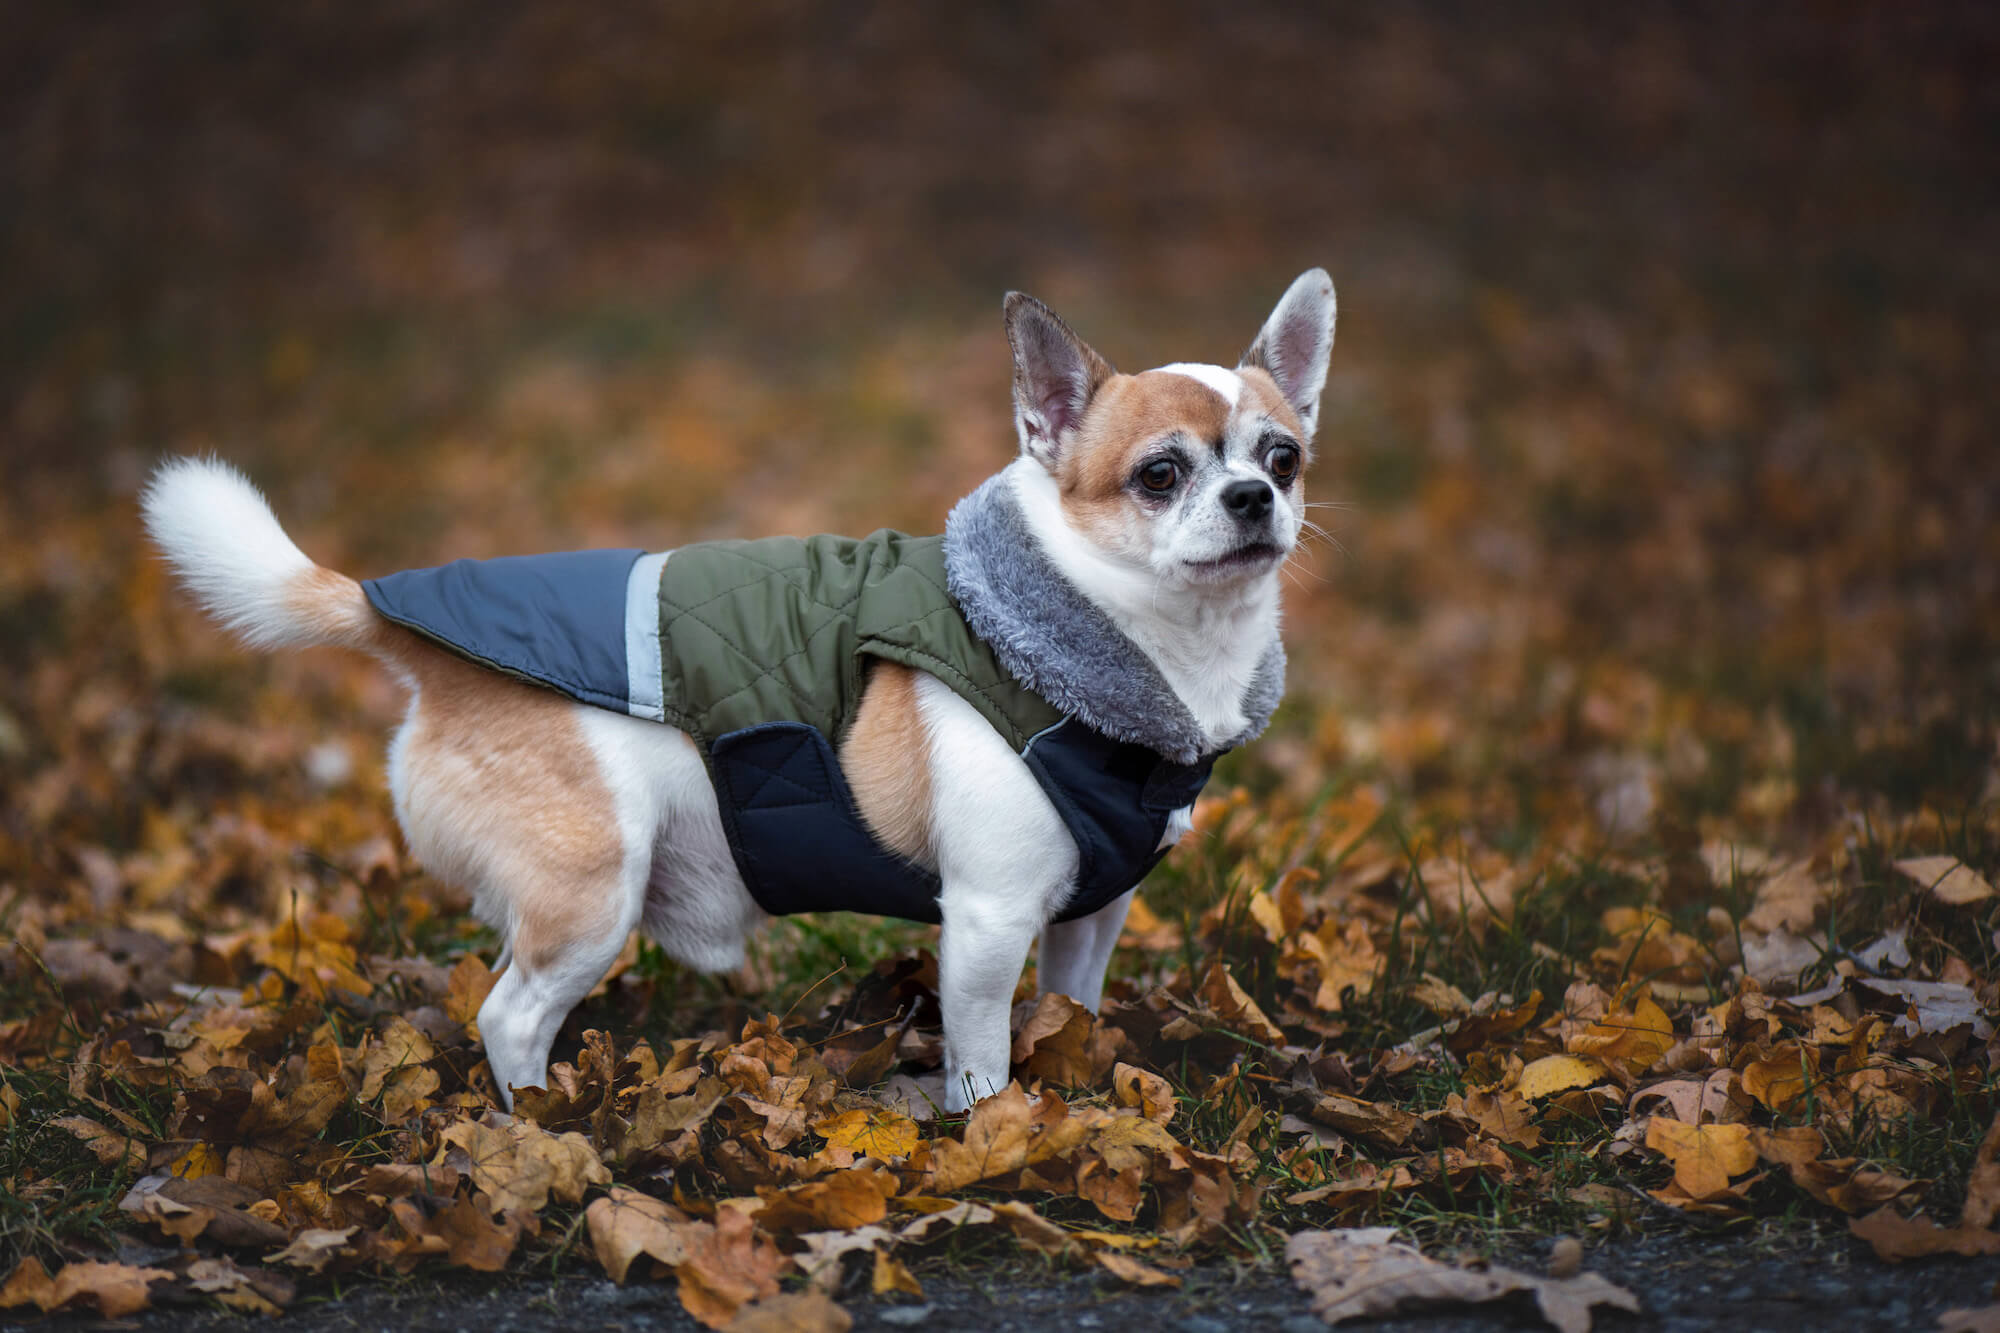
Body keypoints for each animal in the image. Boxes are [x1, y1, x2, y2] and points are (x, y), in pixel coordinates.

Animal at [137, 264, 1328, 1104]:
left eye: (1284, 459)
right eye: (1159, 475)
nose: (1251, 498)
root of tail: (411, 637)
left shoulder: (1091, 913)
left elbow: (1070, 1003)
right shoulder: (986, 923)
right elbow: (981, 1062)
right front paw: (993, 1141)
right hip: (592, 890)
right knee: (509, 1016)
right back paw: (545, 1126)